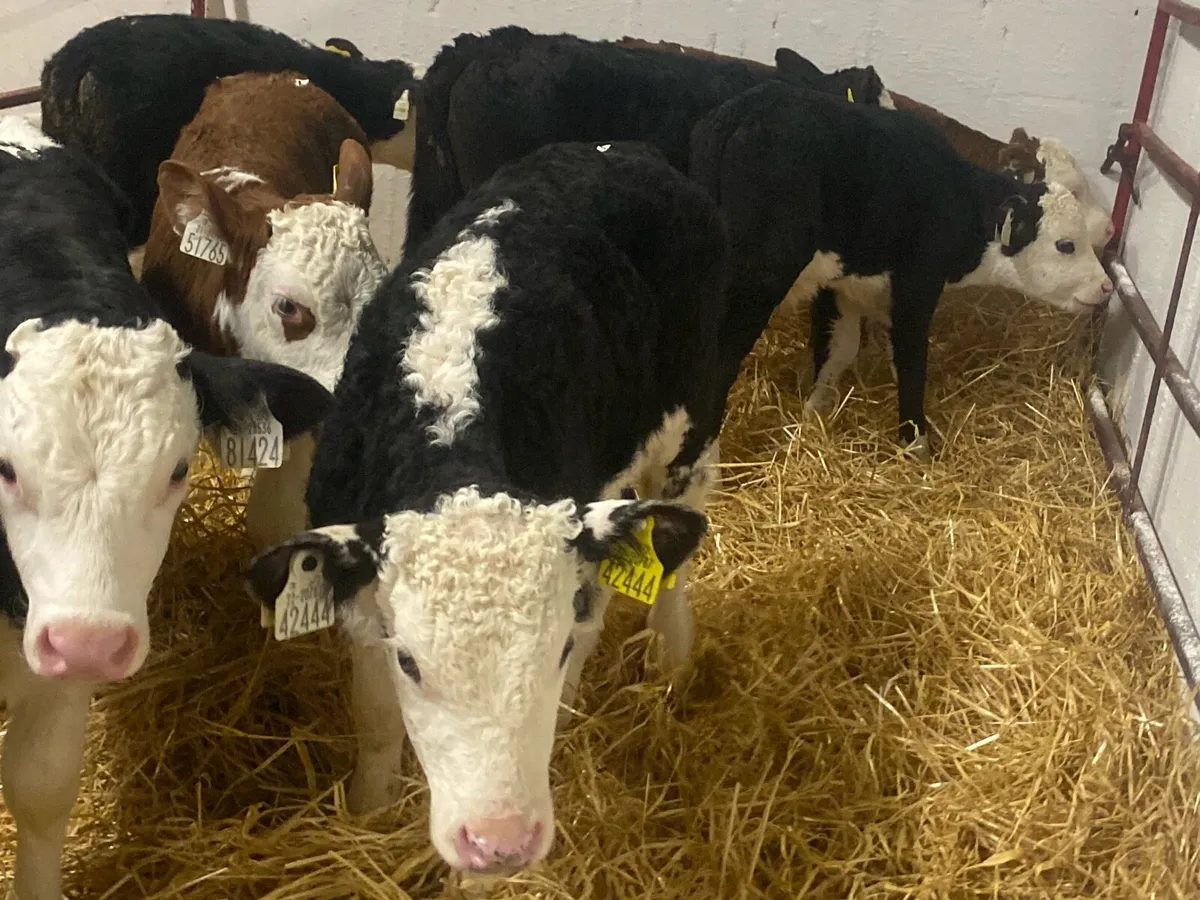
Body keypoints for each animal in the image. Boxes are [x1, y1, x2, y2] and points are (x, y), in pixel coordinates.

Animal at [245, 141, 727, 874]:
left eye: (553, 647)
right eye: (410, 662)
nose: (500, 842)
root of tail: (620, 149)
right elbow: (375, 717)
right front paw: (371, 807)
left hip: (691, 424)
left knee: (674, 548)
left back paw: (671, 653)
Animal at [688, 81, 1113, 460]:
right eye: (1065, 244)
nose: (1107, 286)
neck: (956, 198)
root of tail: (744, 113)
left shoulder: (845, 284)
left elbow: (839, 349)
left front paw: (815, 412)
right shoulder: (916, 286)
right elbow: (910, 359)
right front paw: (916, 444)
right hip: (758, 282)